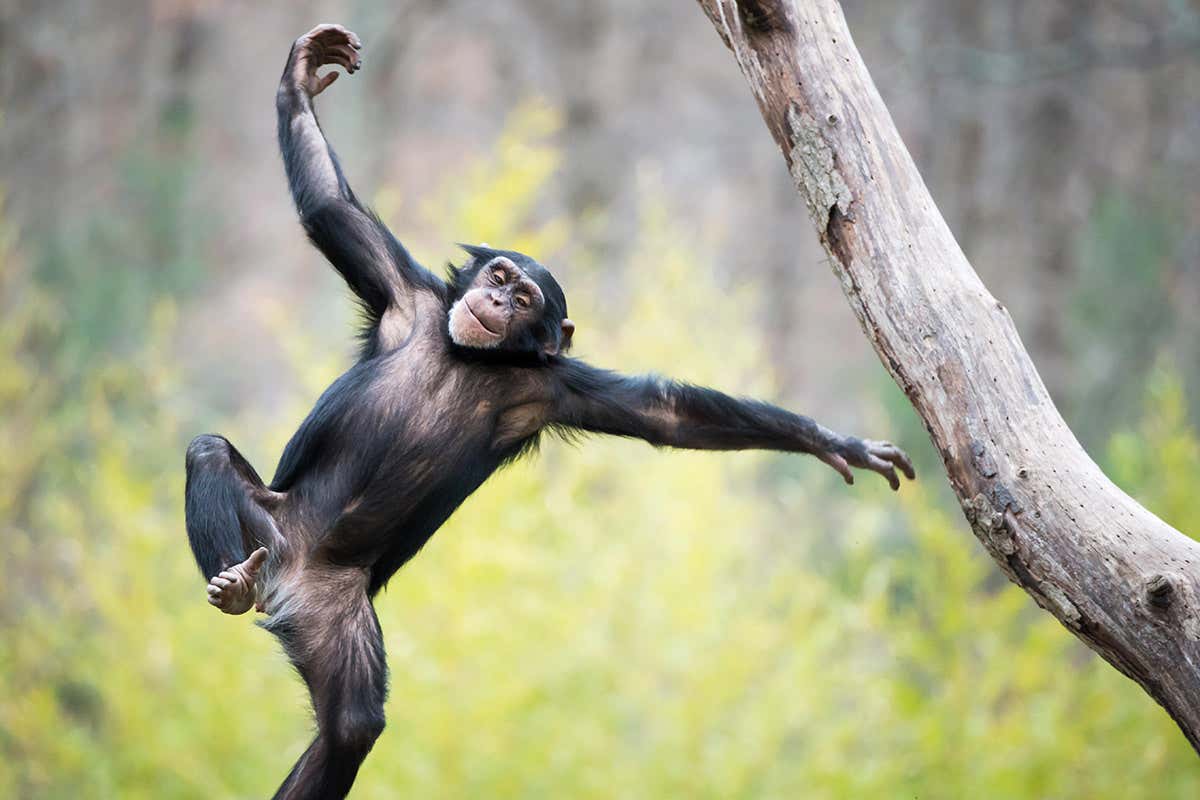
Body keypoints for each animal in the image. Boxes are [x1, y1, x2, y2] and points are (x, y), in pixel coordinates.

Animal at [183, 24, 914, 799]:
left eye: (526, 298)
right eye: (501, 274)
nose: (499, 297)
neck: (472, 358)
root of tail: (285, 586)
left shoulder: (554, 389)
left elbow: (666, 413)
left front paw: (832, 441)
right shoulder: (402, 294)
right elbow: (328, 208)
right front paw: (302, 73)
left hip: (335, 612)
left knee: (350, 725)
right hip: (270, 532)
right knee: (207, 453)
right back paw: (231, 583)